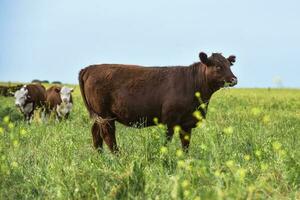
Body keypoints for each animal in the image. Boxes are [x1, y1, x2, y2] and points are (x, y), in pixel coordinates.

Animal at [78, 51, 238, 153]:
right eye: (218, 66)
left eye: (229, 65)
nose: (234, 79)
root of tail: (91, 68)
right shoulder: (170, 121)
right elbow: (166, 141)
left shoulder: (187, 123)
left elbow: (186, 145)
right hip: (105, 116)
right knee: (108, 136)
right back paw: (118, 157)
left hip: (98, 116)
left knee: (96, 134)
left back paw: (100, 156)